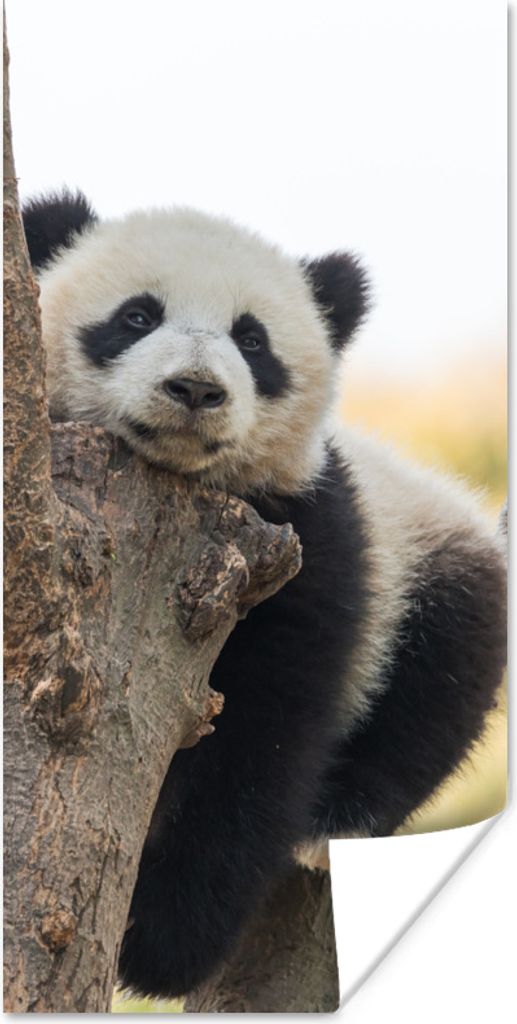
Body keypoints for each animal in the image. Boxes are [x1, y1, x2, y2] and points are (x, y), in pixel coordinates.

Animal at [22, 190, 506, 999]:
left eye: (252, 341)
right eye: (137, 316)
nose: (195, 389)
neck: (180, 483)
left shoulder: (306, 536)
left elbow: (264, 734)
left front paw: (157, 942)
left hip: (426, 559)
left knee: (437, 682)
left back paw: (335, 821)